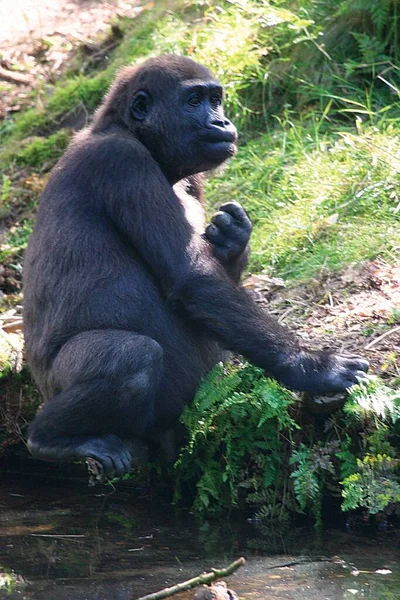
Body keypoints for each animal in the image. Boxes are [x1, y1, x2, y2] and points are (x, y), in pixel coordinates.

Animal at [23, 56, 368, 478]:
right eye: (193, 100)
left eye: (215, 99)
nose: (221, 121)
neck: (129, 131)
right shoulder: (122, 163)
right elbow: (194, 278)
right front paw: (312, 367)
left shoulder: (192, 177)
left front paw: (233, 240)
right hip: (55, 387)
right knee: (134, 357)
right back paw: (51, 438)